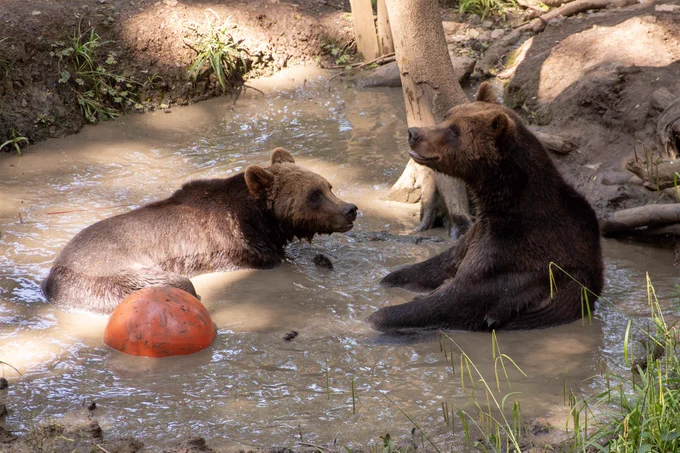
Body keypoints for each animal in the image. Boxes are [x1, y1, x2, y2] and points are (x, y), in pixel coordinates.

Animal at [42, 148, 358, 315]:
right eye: (313, 195)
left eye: (328, 186)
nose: (350, 209)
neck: (260, 220)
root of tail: (50, 280)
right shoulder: (244, 247)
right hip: (109, 275)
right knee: (178, 284)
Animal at [368, 83, 603, 332]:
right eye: (447, 117)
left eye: (455, 131)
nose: (413, 133)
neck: (503, 201)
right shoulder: (478, 233)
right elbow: (434, 267)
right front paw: (391, 278)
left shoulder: (515, 255)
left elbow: (460, 297)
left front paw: (380, 316)